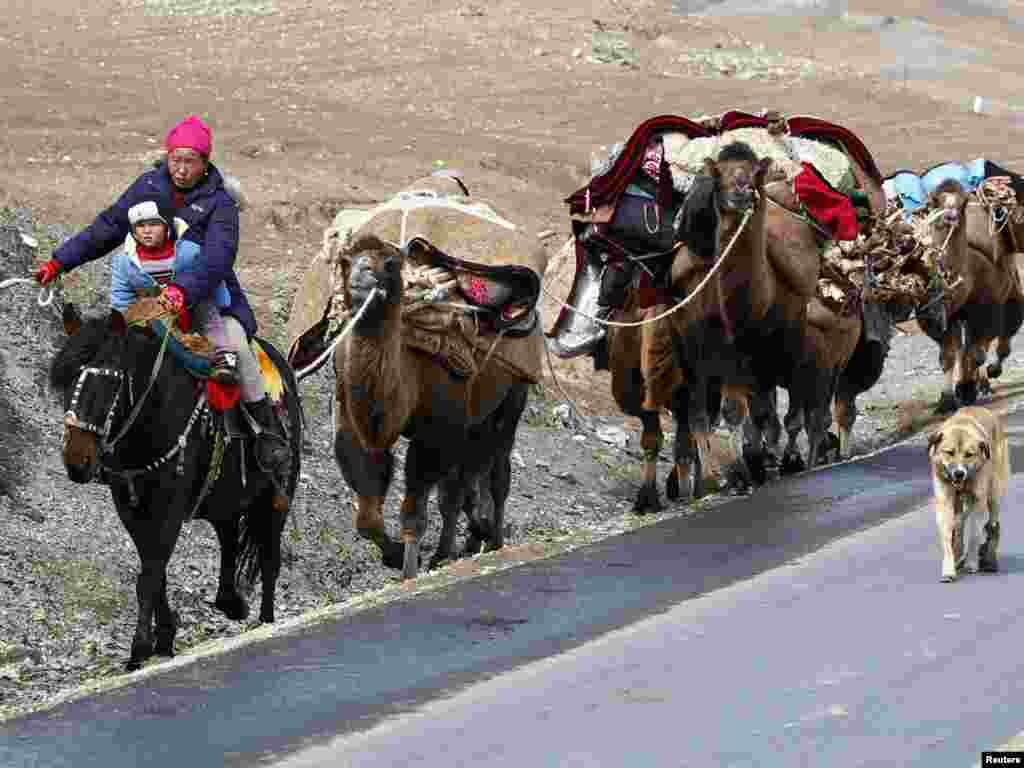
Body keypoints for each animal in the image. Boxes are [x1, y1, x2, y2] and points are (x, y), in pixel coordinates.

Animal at [929, 409, 1007, 581]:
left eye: (969, 454)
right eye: (949, 453)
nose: (959, 473)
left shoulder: (978, 501)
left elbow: (974, 535)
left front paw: (972, 563)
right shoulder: (945, 501)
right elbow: (948, 536)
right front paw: (949, 569)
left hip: (994, 495)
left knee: (992, 525)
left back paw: (989, 560)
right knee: (959, 526)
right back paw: (959, 556)